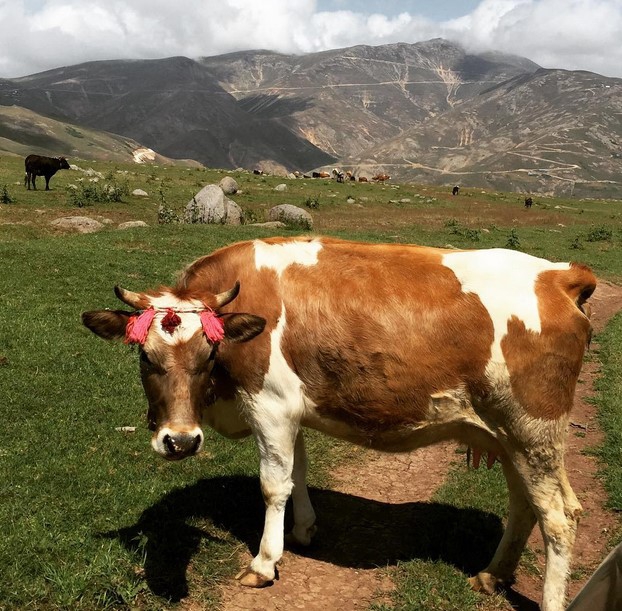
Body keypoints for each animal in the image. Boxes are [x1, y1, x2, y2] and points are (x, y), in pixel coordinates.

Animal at [80, 237, 596, 608]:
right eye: (145, 357)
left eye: (209, 353)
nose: (181, 442)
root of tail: (560, 274)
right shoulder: (292, 409)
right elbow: (298, 471)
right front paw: (303, 530)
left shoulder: (269, 405)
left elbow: (273, 484)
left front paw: (264, 562)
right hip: (508, 437)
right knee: (525, 505)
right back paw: (492, 576)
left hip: (534, 431)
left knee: (560, 517)